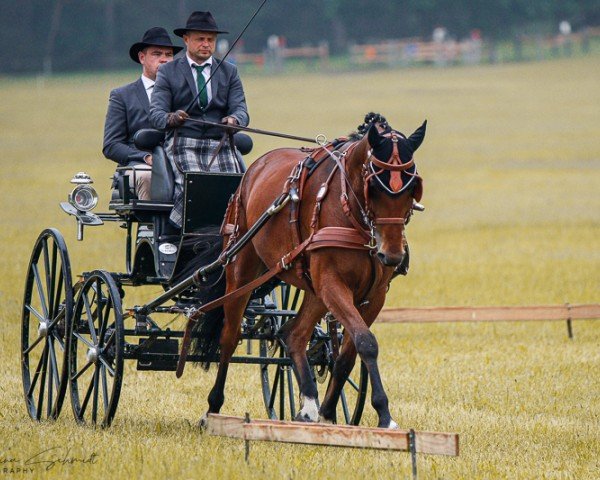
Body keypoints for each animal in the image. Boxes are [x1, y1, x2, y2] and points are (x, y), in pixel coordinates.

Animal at [199, 115, 424, 428]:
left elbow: (347, 354)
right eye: (375, 186)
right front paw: (385, 415)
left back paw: (308, 405)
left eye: (412, 187)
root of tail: (255, 169)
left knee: (293, 333)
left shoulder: (375, 294)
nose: (391, 255)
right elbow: (366, 342)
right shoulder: (332, 282)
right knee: (229, 337)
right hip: (241, 270)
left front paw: (328, 412)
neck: (351, 211)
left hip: (315, 289)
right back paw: (214, 407)